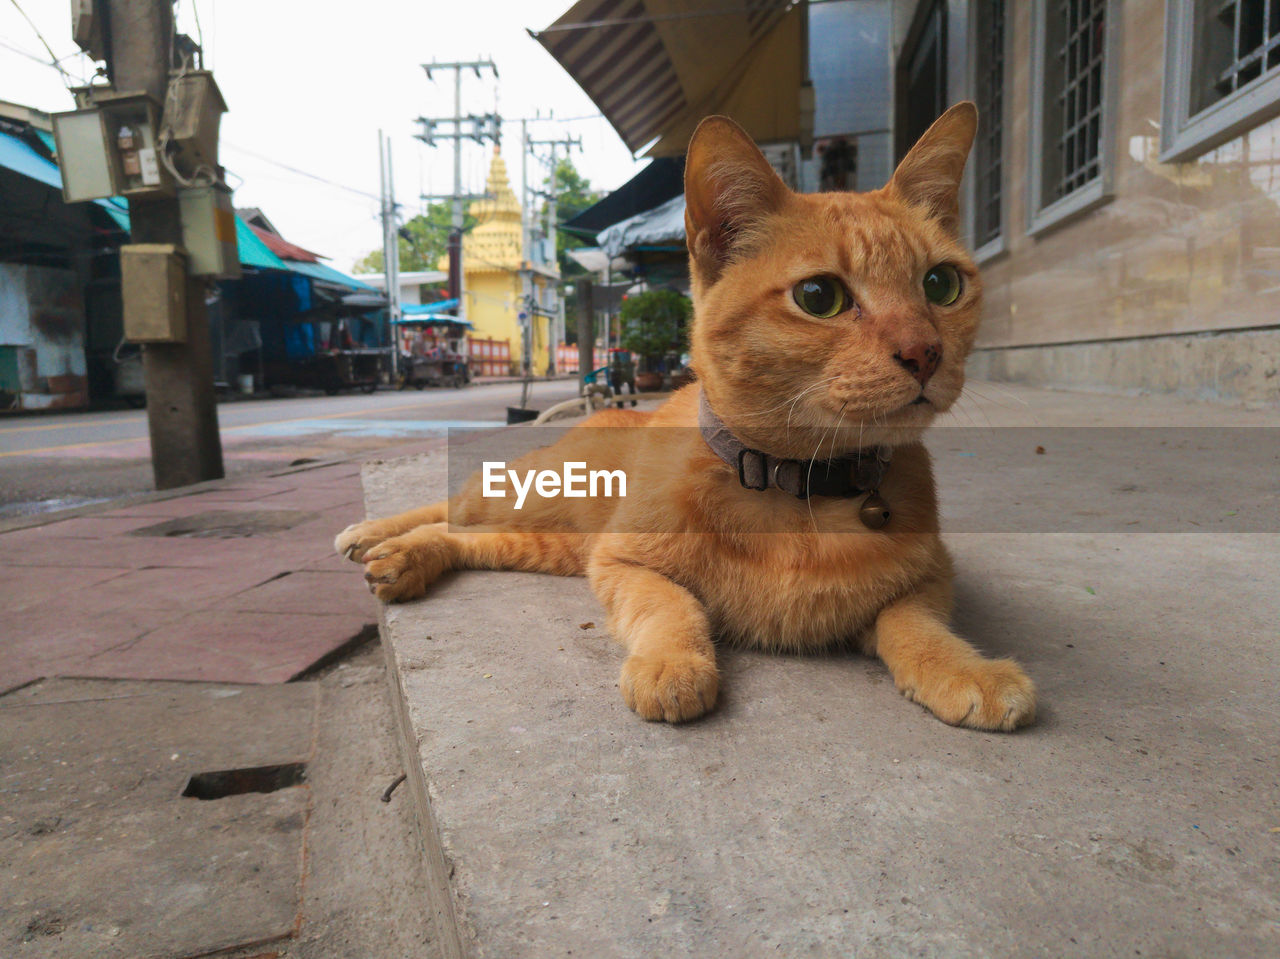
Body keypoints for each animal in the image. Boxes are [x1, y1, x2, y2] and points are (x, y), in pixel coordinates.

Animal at [340, 104, 1039, 727]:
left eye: (942, 284)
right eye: (820, 297)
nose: (925, 353)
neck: (799, 486)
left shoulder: (934, 575)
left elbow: (913, 620)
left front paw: (963, 668)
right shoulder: (621, 563)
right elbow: (672, 605)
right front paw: (673, 665)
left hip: (553, 544)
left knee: (470, 537)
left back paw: (405, 559)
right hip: (537, 500)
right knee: (452, 504)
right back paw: (377, 535)